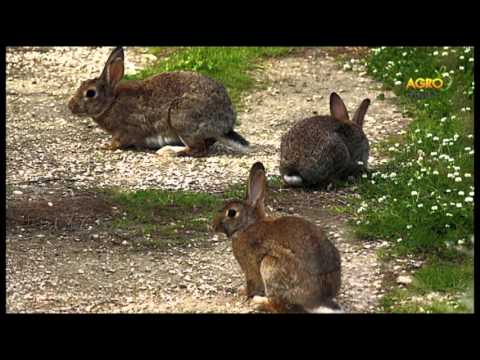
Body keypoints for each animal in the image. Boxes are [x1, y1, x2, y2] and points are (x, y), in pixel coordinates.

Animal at [69, 46, 249, 156]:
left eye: (90, 93)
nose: (70, 106)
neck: (111, 102)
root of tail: (225, 125)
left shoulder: (125, 129)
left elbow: (118, 141)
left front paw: (107, 146)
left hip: (181, 119)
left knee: (198, 149)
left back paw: (172, 151)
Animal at [212, 162, 344, 314]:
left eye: (232, 213)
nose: (213, 226)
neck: (247, 226)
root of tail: (319, 300)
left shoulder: (250, 268)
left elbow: (251, 284)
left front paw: (243, 293)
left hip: (270, 267)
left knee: (278, 305)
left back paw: (258, 303)